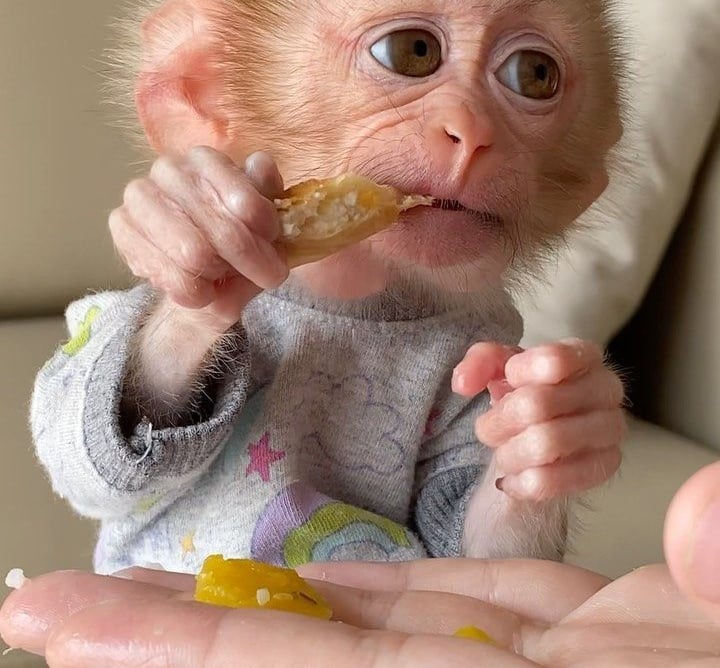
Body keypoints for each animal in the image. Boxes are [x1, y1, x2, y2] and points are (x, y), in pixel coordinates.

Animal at [31, 0, 625, 575]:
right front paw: (191, 215)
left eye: (534, 74)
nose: (474, 134)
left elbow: (467, 541)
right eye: (413, 52)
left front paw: (559, 418)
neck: (357, 302)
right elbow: (78, 443)